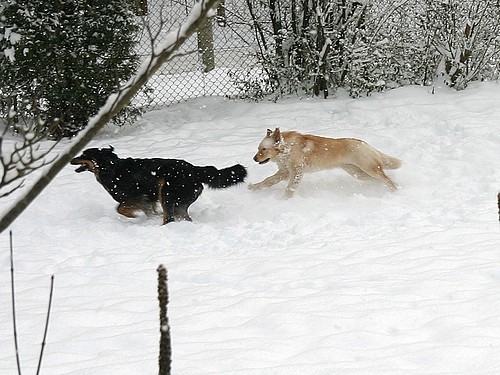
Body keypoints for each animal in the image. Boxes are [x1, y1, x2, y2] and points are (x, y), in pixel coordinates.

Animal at [71, 146, 247, 223]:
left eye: (84, 154)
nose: (72, 159)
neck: (110, 167)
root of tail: (194, 169)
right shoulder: (147, 200)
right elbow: (148, 210)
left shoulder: (136, 196)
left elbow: (120, 208)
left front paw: (134, 217)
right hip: (179, 201)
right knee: (182, 216)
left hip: (166, 191)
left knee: (169, 217)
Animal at [250, 129, 402, 198]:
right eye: (258, 149)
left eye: (264, 149)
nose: (254, 159)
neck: (288, 148)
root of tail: (365, 144)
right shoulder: (284, 172)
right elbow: (268, 180)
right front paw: (254, 187)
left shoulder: (297, 171)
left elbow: (290, 189)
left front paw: (283, 201)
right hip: (359, 174)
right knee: (385, 179)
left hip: (369, 169)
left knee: (387, 179)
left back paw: (396, 191)